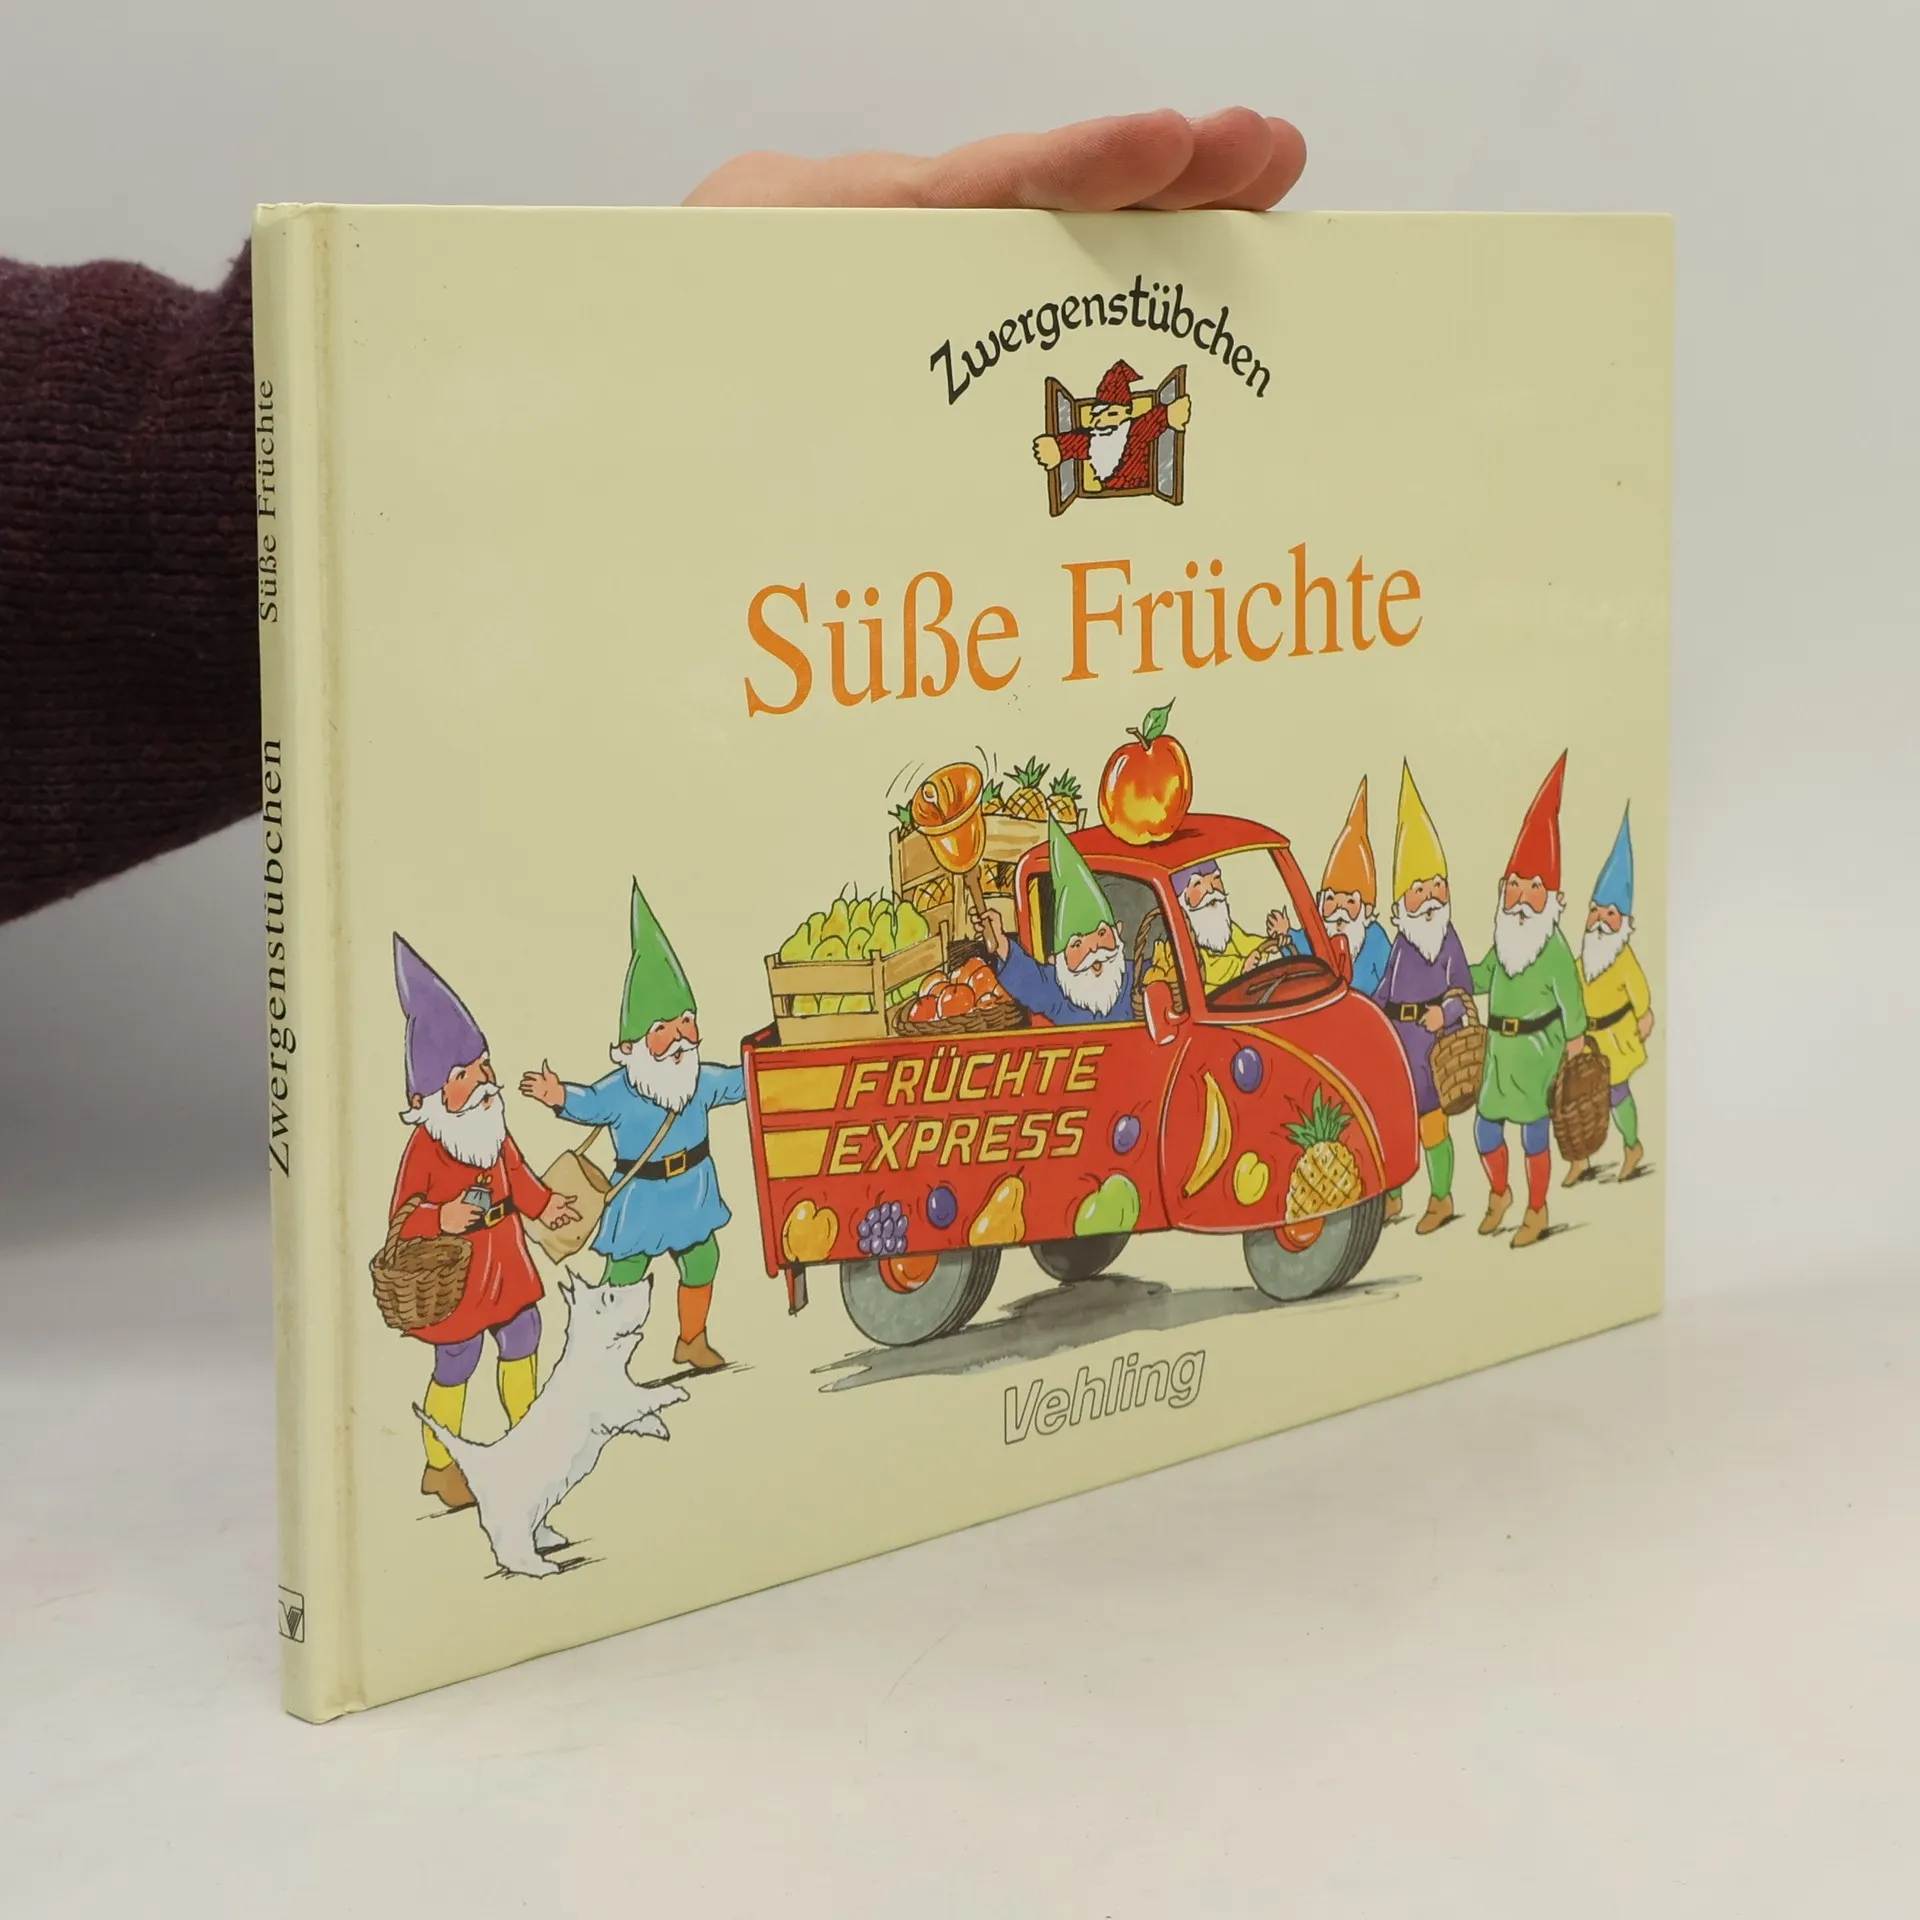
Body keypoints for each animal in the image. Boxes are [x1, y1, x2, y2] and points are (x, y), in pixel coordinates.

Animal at [416, 1271, 688, 1577]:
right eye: (610, 1295)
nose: (651, 1278)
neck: (594, 1352)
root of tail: (478, 1461)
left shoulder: (616, 1410)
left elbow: (641, 1416)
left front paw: (659, 1428)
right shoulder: (615, 1402)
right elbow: (647, 1397)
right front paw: (675, 1393)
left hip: (537, 1506)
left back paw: (550, 1539)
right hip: (514, 1516)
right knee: (510, 1550)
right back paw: (541, 1566)